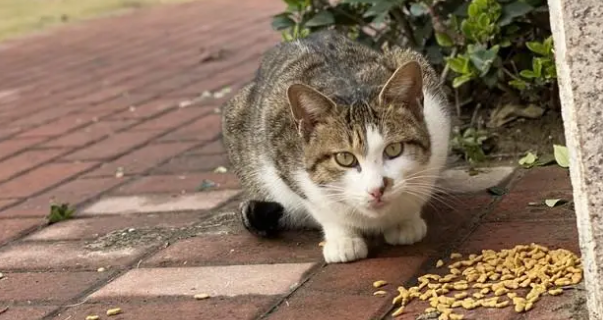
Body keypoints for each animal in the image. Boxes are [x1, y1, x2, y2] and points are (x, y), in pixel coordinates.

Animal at [224, 30, 450, 264]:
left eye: (394, 149)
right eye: (345, 158)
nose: (377, 190)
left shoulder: (438, 118)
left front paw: (405, 222)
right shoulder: (285, 156)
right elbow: (322, 206)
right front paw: (343, 238)